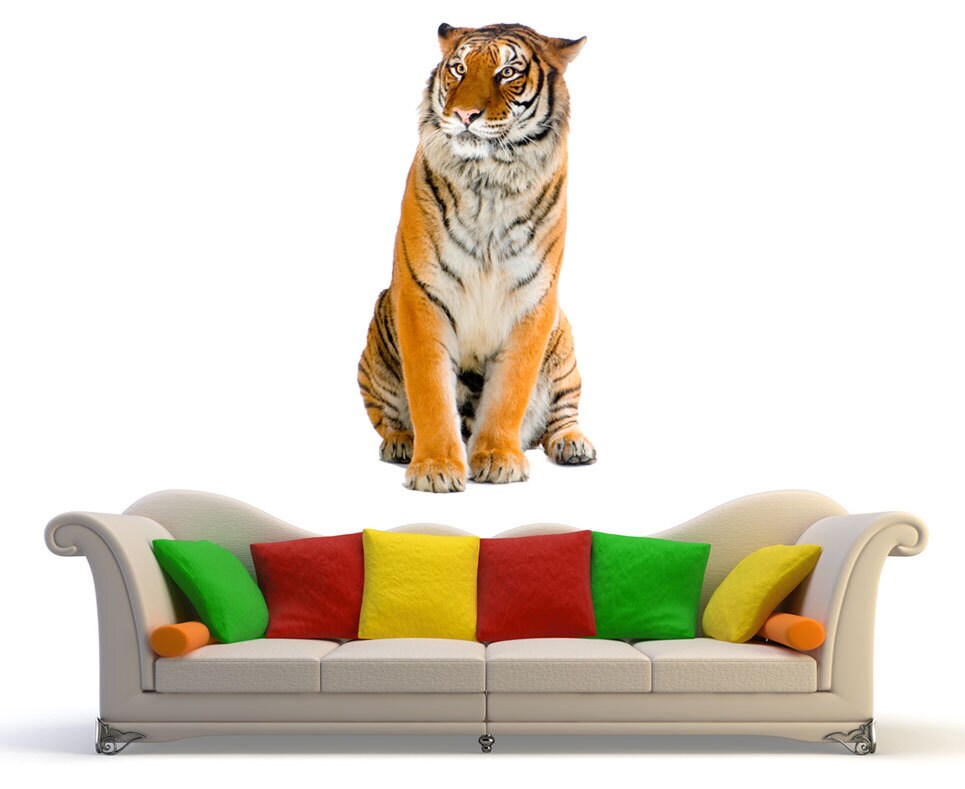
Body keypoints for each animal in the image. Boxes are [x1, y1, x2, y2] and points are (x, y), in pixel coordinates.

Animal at [358, 22, 595, 493]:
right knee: (387, 416)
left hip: (564, 347)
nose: (465, 115)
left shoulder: (533, 301)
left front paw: (499, 458)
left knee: (561, 415)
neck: (489, 179)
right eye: (459, 69)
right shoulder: (422, 296)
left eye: (508, 72)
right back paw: (400, 442)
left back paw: (573, 444)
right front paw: (434, 468)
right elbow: (430, 392)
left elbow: (509, 391)